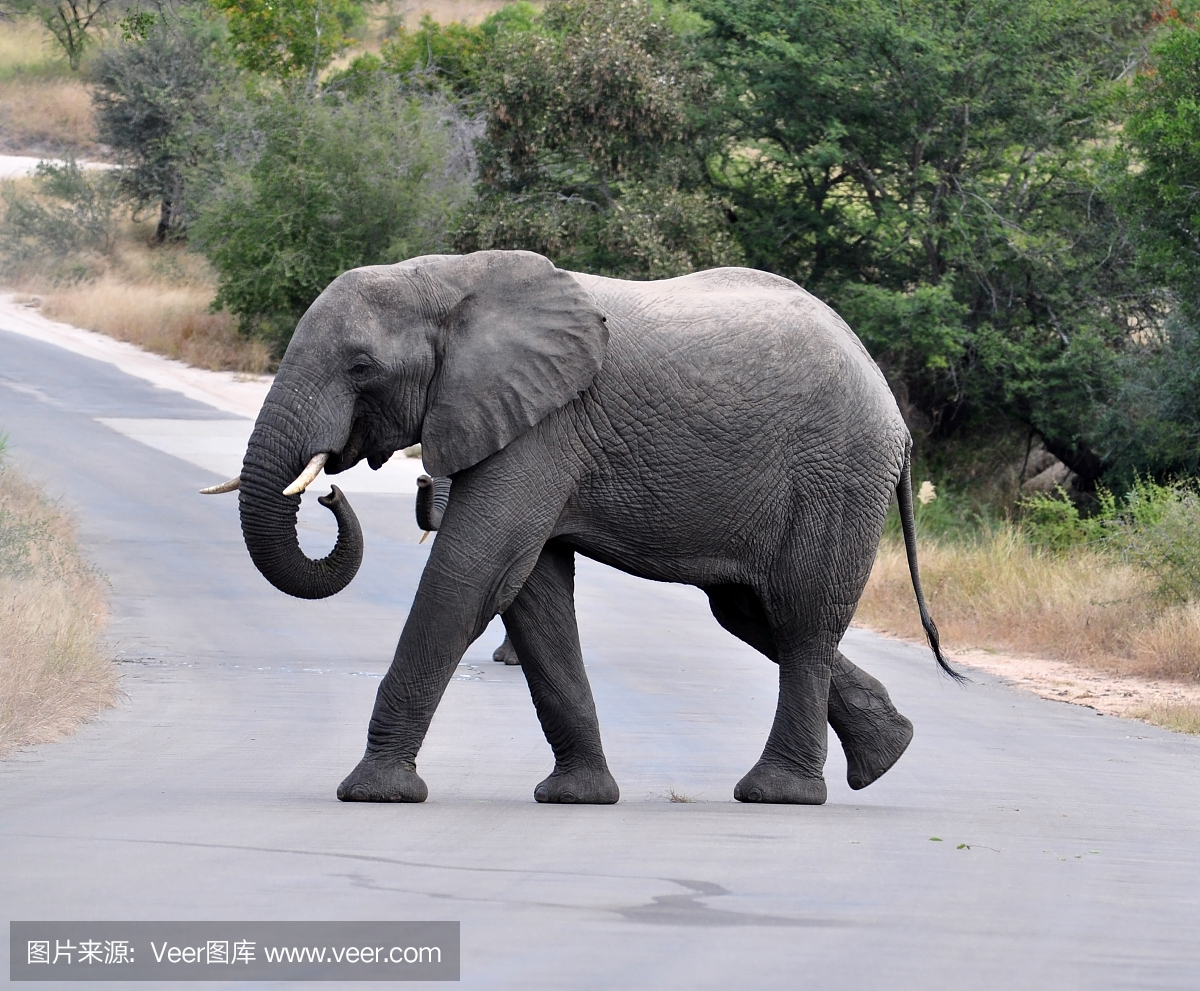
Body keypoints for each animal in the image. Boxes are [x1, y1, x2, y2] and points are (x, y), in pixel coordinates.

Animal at [208, 247, 955, 801]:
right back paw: (889, 753)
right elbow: (530, 592)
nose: (330, 490)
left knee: (799, 622)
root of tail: (889, 403)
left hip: (835, 476)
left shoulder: (543, 427)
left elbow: (471, 573)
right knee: (753, 613)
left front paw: (373, 791)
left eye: (361, 366)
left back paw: (779, 793)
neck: (446, 280)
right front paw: (578, 796)